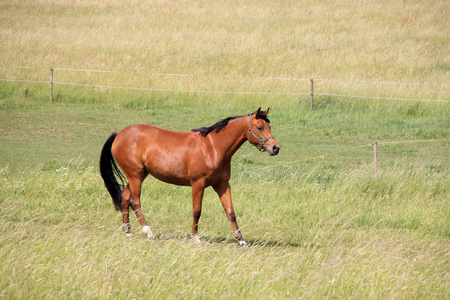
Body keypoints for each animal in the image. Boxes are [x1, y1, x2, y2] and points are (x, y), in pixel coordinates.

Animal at [100, 108, 280, 246]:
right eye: (259, 127)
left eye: (269, 126)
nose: (275, 148)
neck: (212, 147)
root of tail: (119, 133)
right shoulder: (198, 184)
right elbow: (197, 211)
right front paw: (195, 238)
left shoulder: (222, 184)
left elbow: (230, 212)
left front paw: (241, 240)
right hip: (135, 176)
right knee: (135, 201)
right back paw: (149, 232)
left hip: (138, 175)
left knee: (125, 197)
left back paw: (128, 232)